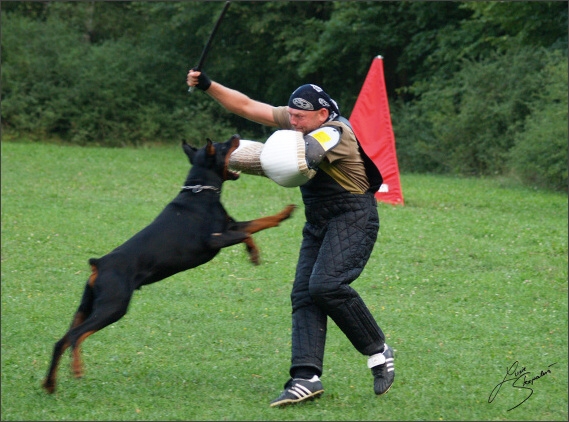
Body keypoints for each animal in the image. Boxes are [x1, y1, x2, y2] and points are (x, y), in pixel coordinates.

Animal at [42, 134, 296, 392]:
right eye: (224, 146)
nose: (235, 136)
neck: (200, 192)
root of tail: (99, 264)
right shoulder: (214, 240)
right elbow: (248, 233)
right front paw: (254, 252)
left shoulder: (230, 226)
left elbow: (259, 223)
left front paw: (283, 214)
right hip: (113, 306)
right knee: (76, 336)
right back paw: (76, 369)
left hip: (86, 306)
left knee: (61, 341)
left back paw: (50, 384)